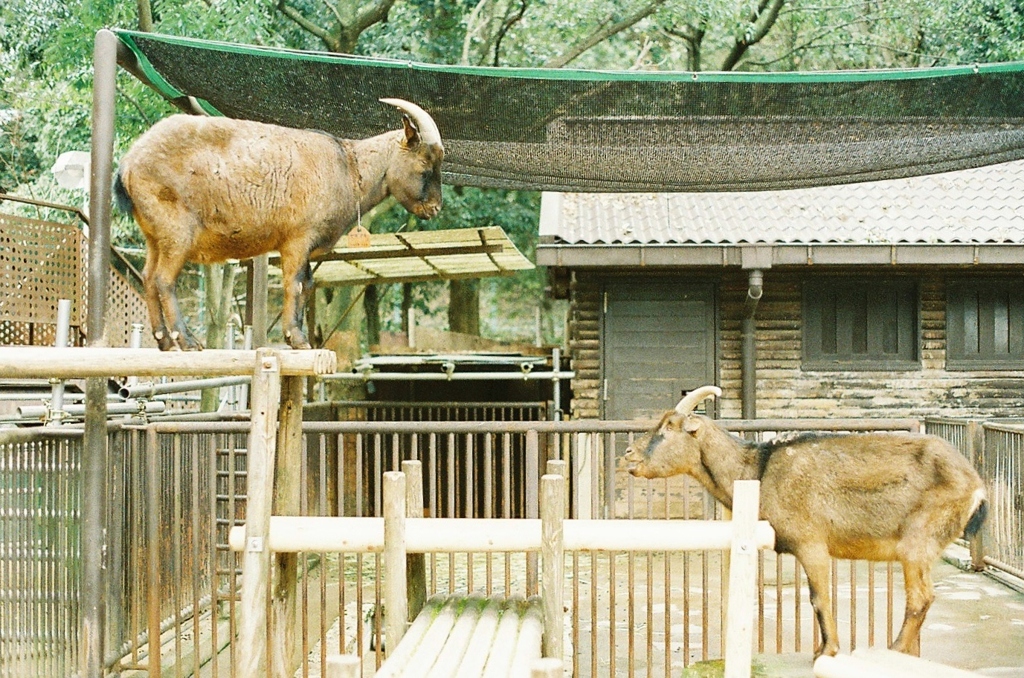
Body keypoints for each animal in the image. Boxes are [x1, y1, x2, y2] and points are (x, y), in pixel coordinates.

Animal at [116, 98, 444, 352]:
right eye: (425, 165)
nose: (435, 208)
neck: (349, 167)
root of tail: (128, 164)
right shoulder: (298, 239)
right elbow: (295, 283)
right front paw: (298, 339)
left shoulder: (305, 245)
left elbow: (308, 283)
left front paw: (297, 337)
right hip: (177, 232)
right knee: (163, 280)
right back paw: (186, 341)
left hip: (154, 235)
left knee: (147, 277)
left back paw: (164, 341)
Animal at [618, 391, 987, 659]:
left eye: (668, 427)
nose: (628, 456)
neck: (759, 469)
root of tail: (976, 486)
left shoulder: (812, 544)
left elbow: (819, 598)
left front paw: (827, 651)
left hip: (916, 542)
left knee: (920, 598)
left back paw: (895, 650)